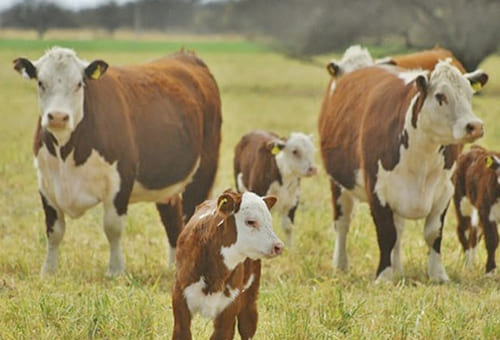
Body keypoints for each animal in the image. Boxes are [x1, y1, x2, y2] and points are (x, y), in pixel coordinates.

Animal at [12, 47, 221, 276]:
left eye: (79, 84)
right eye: (41, 82)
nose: (58, 117)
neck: (67, 152)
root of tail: (185, 55)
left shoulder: (120, 179)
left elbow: (112, 227)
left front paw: (115, 270)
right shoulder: (46, 182)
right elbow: (54, 230)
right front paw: (49, 271)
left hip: (204, 171)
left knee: (192, 215)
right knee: (172, 218)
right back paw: (175, 267)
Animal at [172, 190, 284, 340]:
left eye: (269, 221)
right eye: (250, 221)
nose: (278, 246)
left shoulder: (229, 307)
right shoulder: (180, 302)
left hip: (250, 299)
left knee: (247, 326)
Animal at [320, 60, 488, 282]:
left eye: (470, 94)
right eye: (440, 96)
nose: (475, 126)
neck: (422, 154)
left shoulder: (444, 191)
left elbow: (433, 233)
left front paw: (438, 274)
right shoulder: (377, 191)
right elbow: (386, 234)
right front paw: (383, 276)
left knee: (398, 230)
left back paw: (398, 269)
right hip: (338, 183)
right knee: (342, 223)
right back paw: (340, 265)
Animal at [454, 144, 500, 274]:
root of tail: (475, 148)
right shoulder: (486, 210)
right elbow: (492, 239)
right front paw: (490, 270)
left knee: (475, 235)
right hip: (463, 205)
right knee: (464, 232)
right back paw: (468, 266)